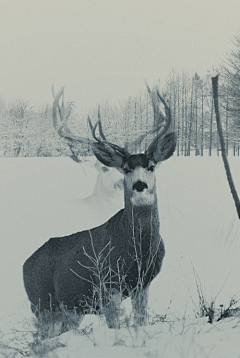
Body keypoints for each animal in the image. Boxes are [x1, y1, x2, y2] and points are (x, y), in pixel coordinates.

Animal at [22, 85, 176, 332]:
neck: (137, 250)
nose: (139, 185)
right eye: (126, 168)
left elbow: (141, 321)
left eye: (151, 166)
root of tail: (25, 264)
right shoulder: (107, 285)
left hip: (71, 310)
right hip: (42, 305)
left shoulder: (142, 284)